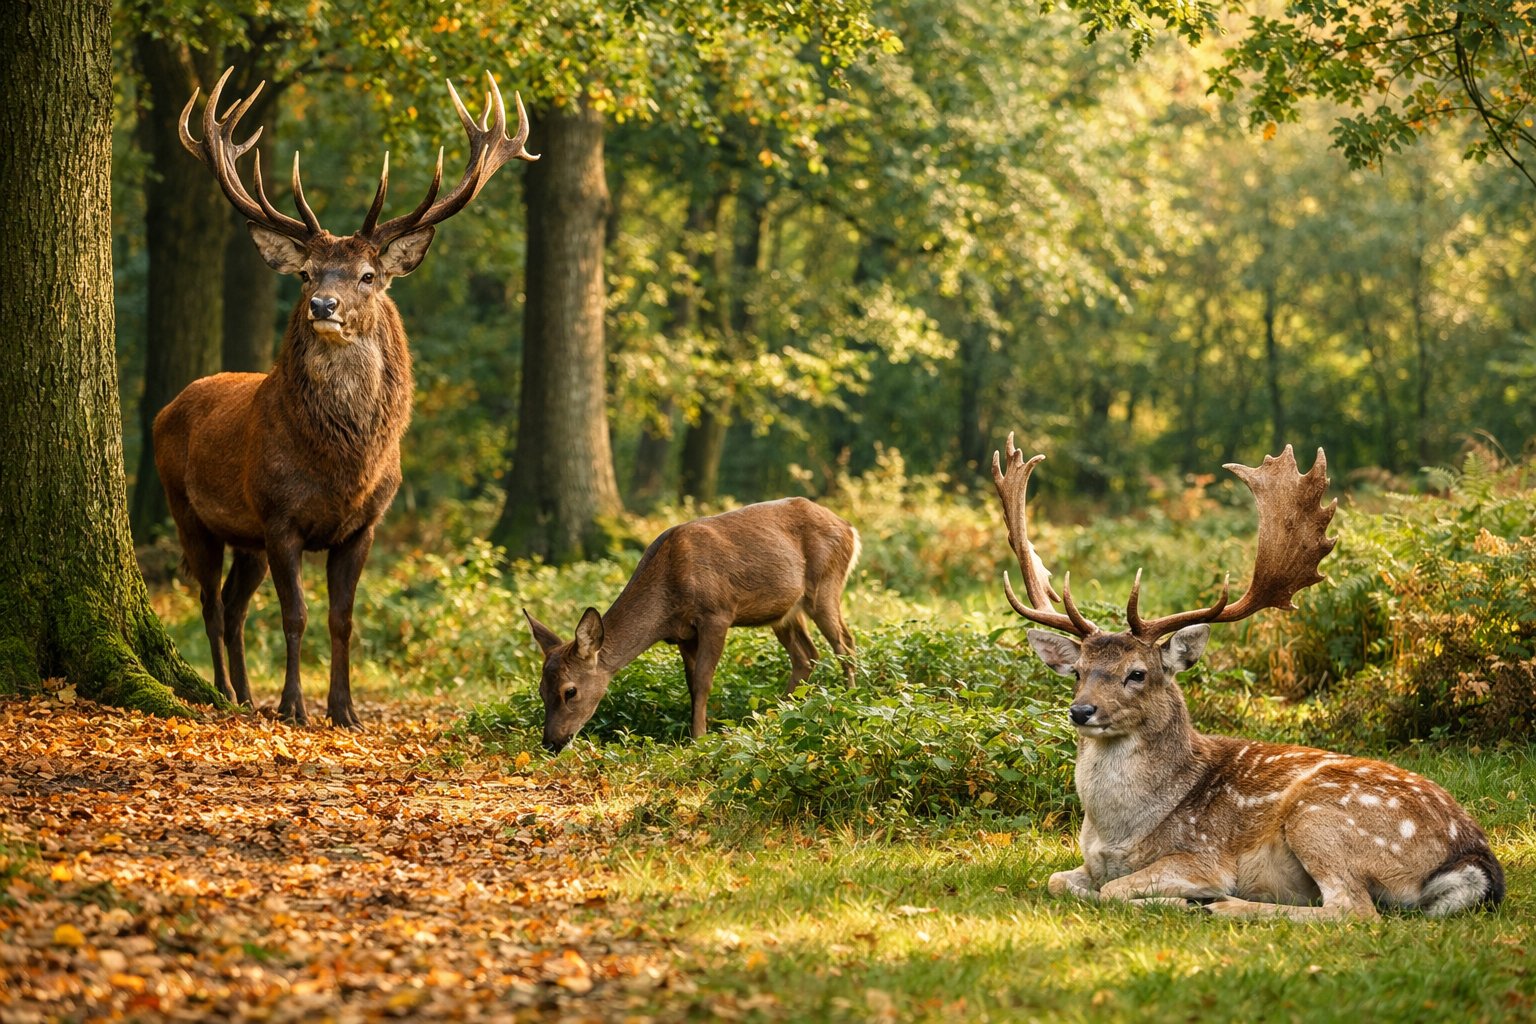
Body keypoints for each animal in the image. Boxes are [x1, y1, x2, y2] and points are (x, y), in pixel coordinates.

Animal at [154, 67, 536, 728]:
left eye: (368, 275)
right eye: (307, 273)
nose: (322, 305)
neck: (345, 466)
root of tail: (167, 407)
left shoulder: (364, 526)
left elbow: (342, 619)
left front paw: (345, 710)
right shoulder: (279, 516)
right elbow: (295, 616)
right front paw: (293, 708)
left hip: (246, 539)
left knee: (233, 605)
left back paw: (245, 695)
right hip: (188, 511)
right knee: (209, 603)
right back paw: (227, 693)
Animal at [525, 498, 860, 752]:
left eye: (570, 691)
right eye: (540, 689)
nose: (551, 742)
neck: (666, 603)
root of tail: (850, 528)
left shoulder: (717, 613)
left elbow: (703, 680)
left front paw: (698, 738)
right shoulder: (682, 635)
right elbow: (690, 683)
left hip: (825, 584)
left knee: (846, 644)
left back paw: (850, 699)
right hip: (784, 611)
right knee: (807, 655)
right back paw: (776, 713)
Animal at [991, 436, 1505, 920]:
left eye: (1137, 673)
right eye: (1078, 672)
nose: (1082, 710)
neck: (1115, 834)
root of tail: (1473, 859)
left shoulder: (1202, 856)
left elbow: (1113, 891)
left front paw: (1185, 899)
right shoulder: (1088, 863)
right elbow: (1058, 881)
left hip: (1322, 817)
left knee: (1352, 910)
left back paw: (1222, 906)